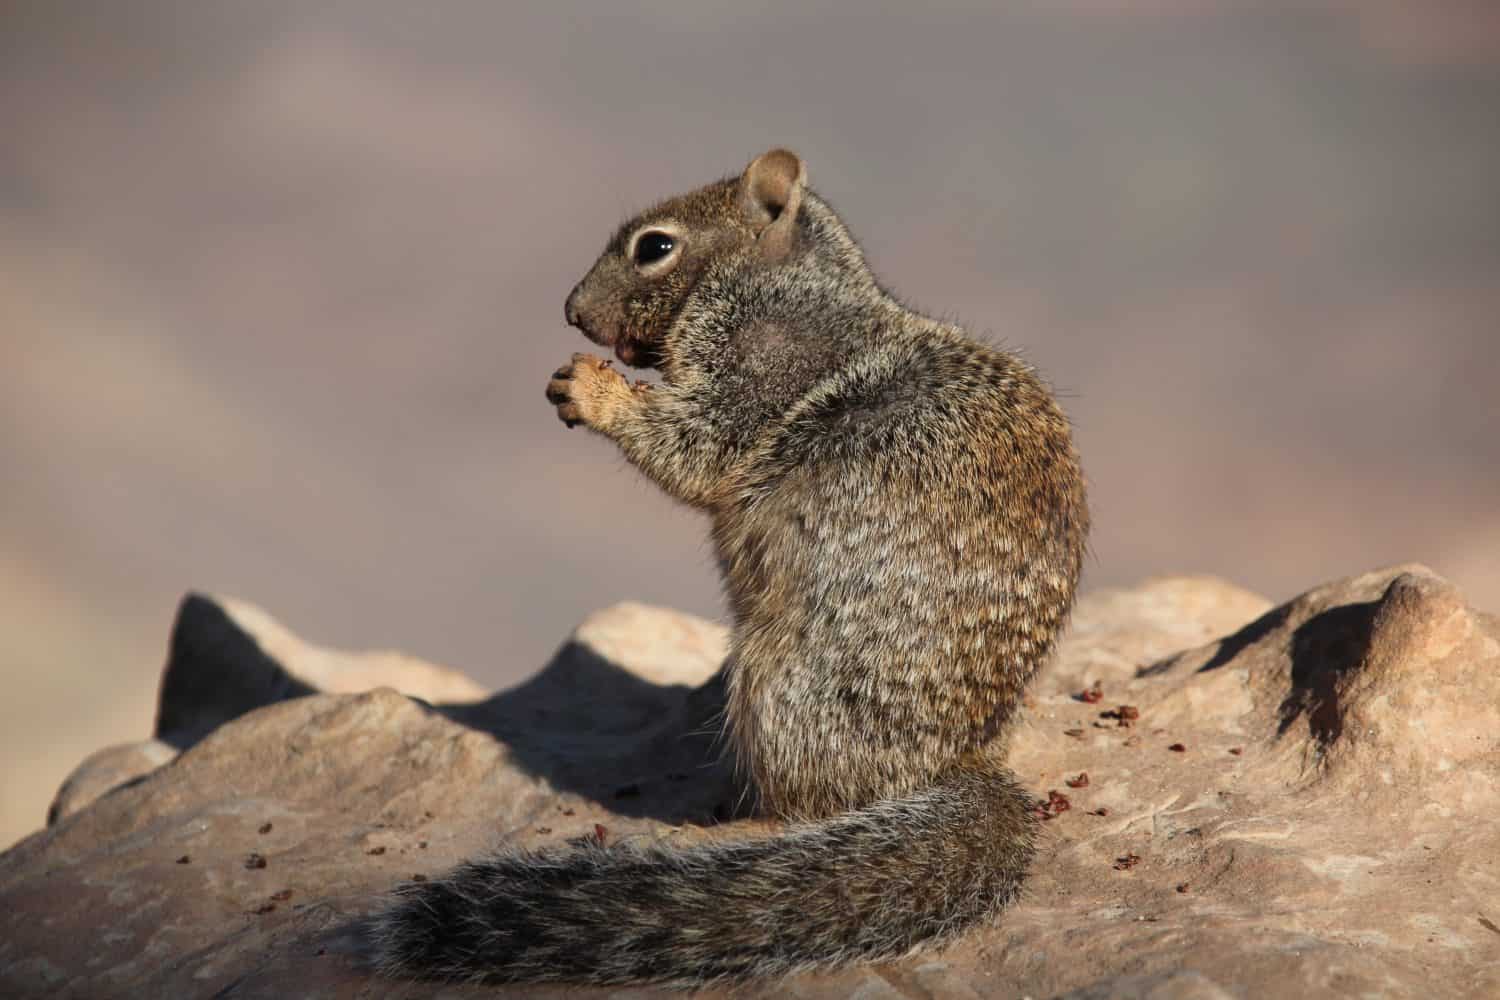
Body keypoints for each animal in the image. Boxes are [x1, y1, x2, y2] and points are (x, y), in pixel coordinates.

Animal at [369, 148, 1089, 987]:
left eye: (654, 246)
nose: (573, 313)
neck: (787, 276)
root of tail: (961, 764)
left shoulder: (756, 365)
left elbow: (697, 447)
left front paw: (593, 388)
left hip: (777, 683)